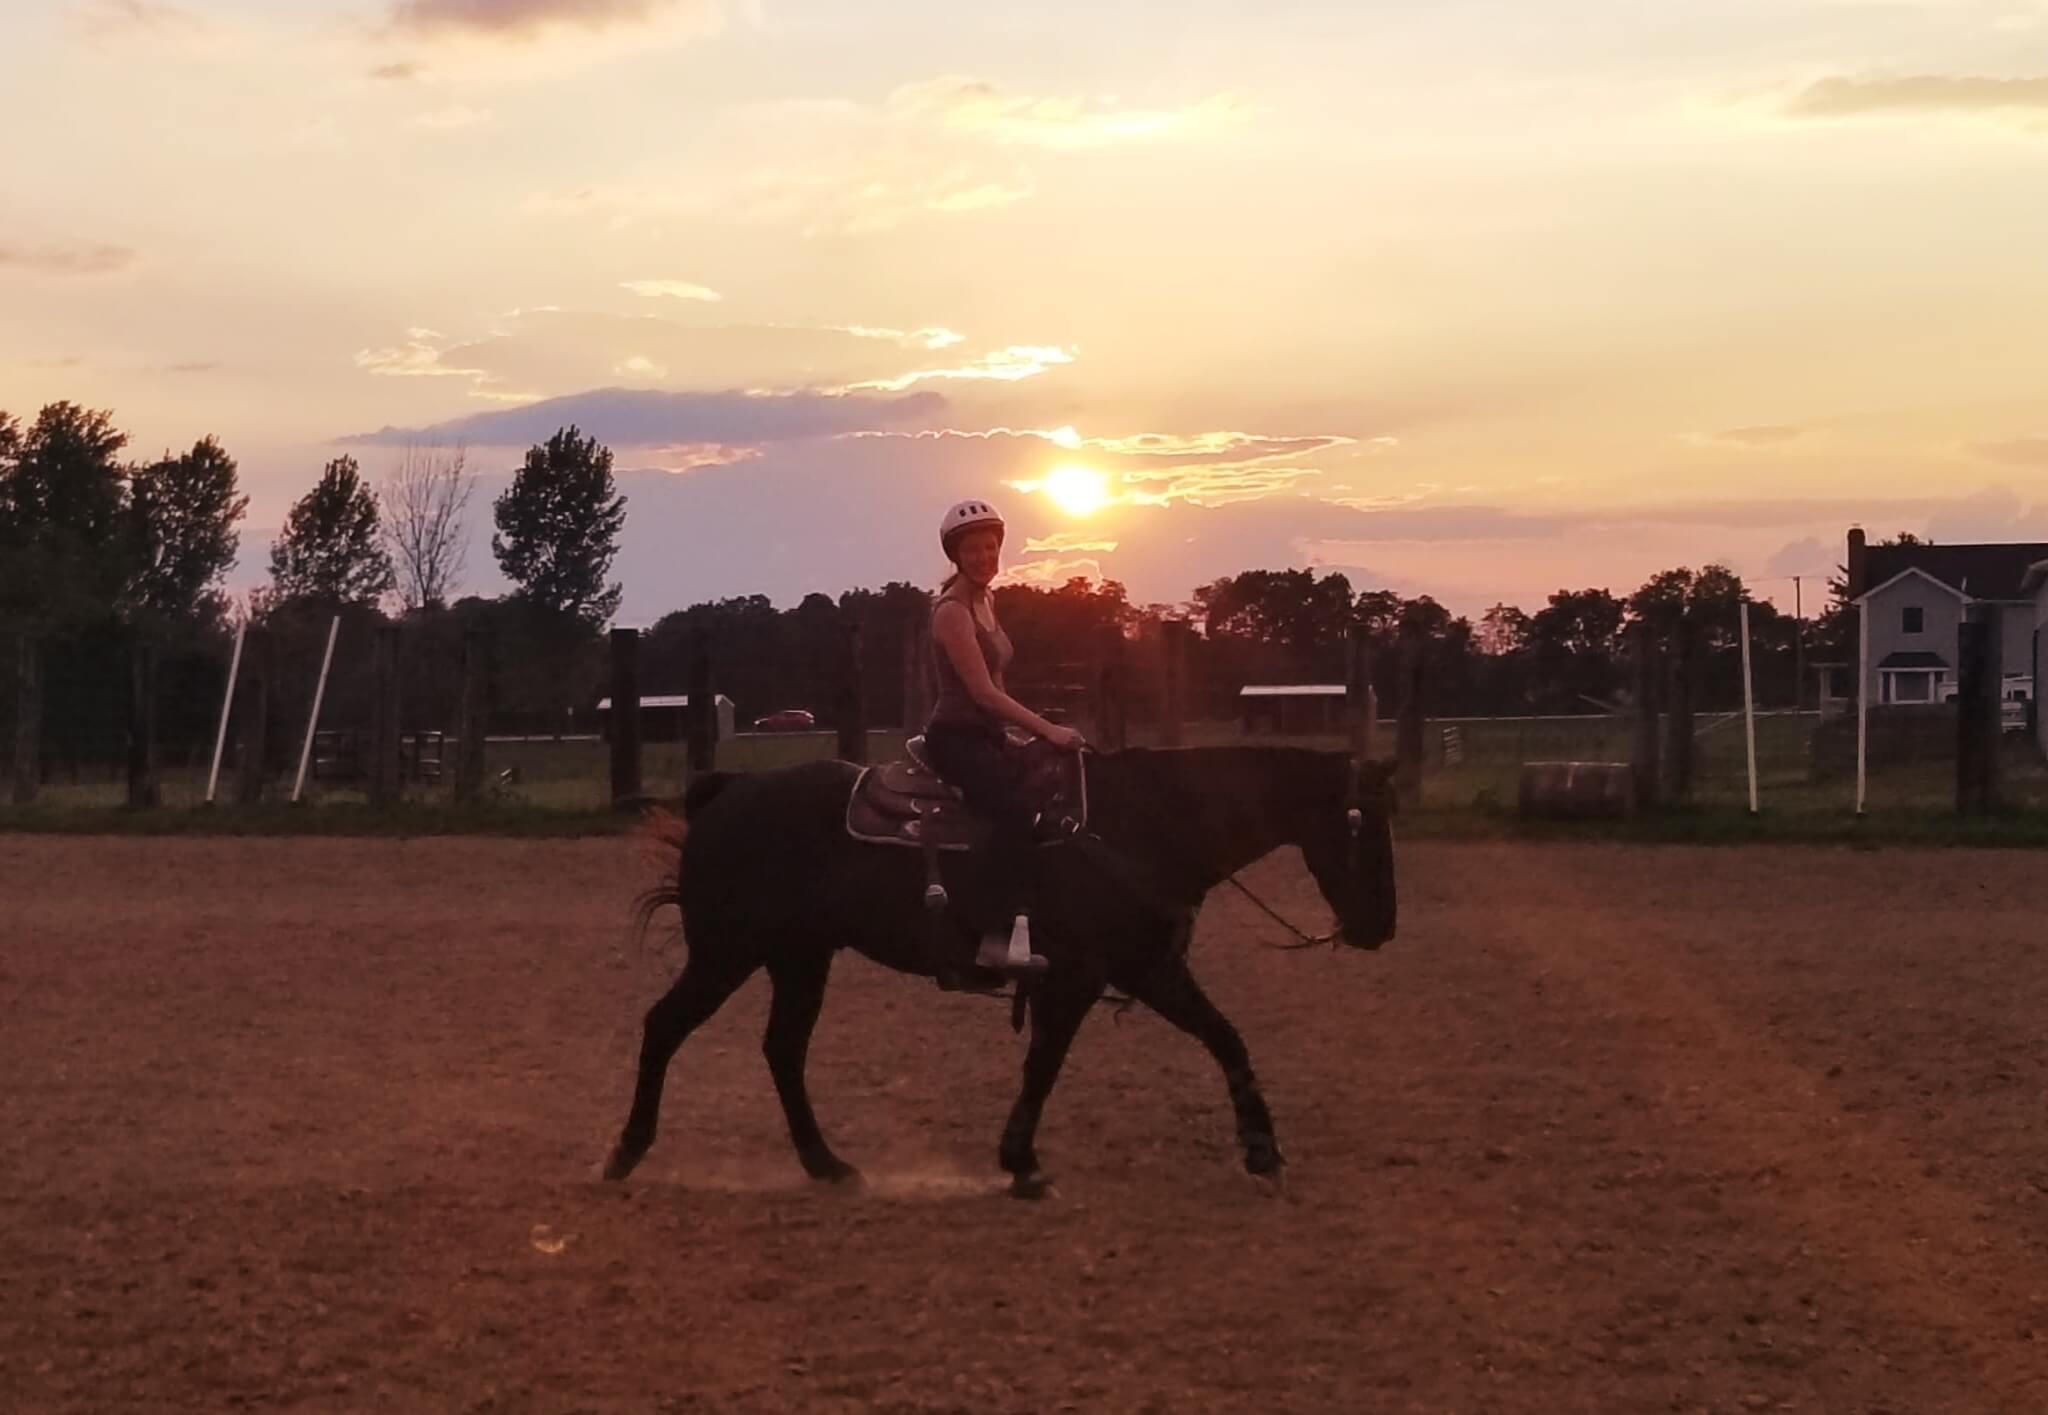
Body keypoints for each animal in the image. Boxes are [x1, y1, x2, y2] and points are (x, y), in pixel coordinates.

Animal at [598, 741, 1392, 1195]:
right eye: (1360, 824)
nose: (1381, 927)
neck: (1139, 824)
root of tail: (728, 790)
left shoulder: (1146, 968)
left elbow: (1227, 1039)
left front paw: (1262, 1150)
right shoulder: (1078, 979)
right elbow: (1044, 1066)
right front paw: (1020, 1162)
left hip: (799, 957)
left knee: (783, 1050)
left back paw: (828, 1165)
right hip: (727, 953)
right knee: (664, 1027)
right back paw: (625, 1153)